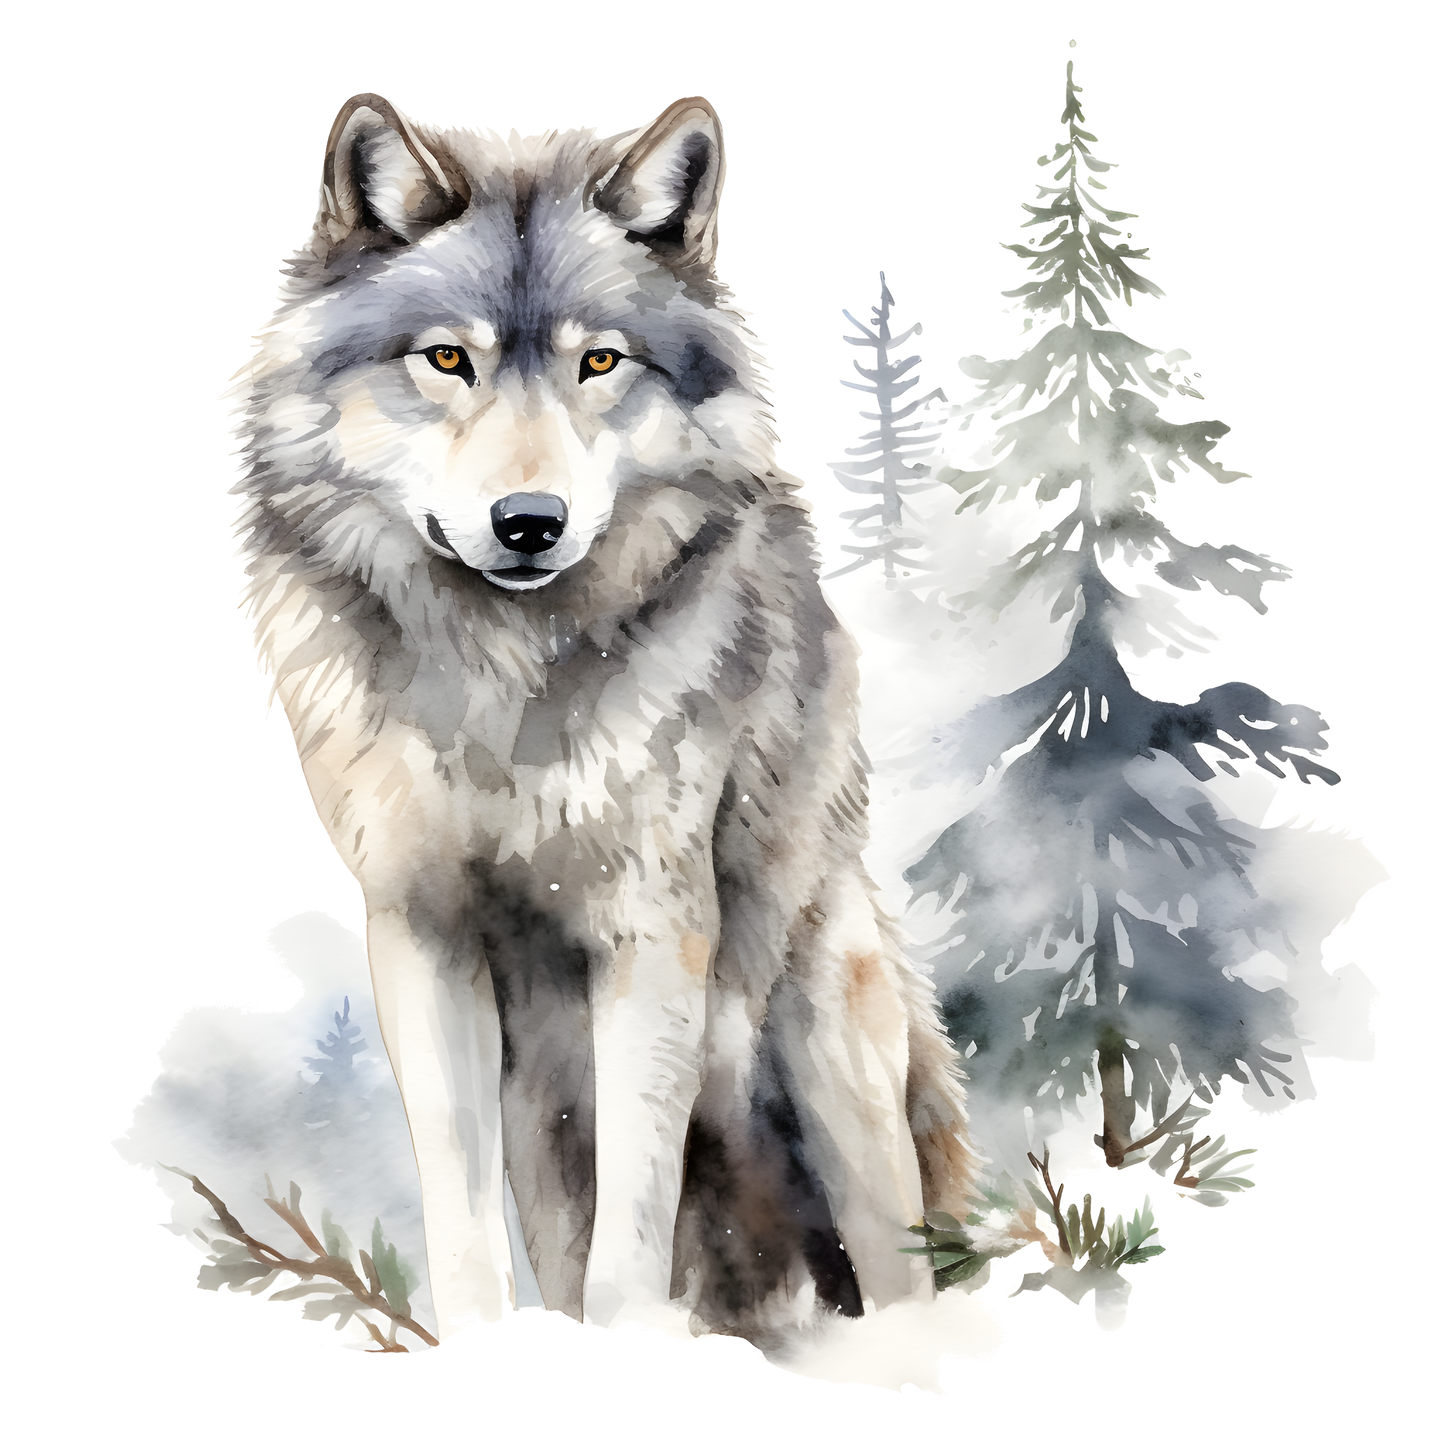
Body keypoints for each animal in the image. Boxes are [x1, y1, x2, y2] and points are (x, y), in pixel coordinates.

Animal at [222, 90, 974, 1347]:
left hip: (830, 1051)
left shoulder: (652, 931)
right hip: (546, 1119)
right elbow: (458, 1199)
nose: (529, 520)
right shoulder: (419, 930)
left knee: (899, 1265)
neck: (504, 680)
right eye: (447, 358)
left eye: (599, 362)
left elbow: (638, 1202)